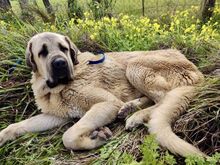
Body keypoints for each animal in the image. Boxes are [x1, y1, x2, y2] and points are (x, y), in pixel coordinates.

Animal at [0, 32, 205, 157]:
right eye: (42, 52)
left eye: (63, 48)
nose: (60, 63)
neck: (55, 89)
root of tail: (197, 71)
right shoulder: (57, 115)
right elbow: (17, 125)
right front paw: (3, 136)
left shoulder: (107, 103)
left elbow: (68, 136)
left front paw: (95, 138)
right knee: (154, 99)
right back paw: (130, 107)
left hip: (135, 66)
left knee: (163, 99)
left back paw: (136, 116)